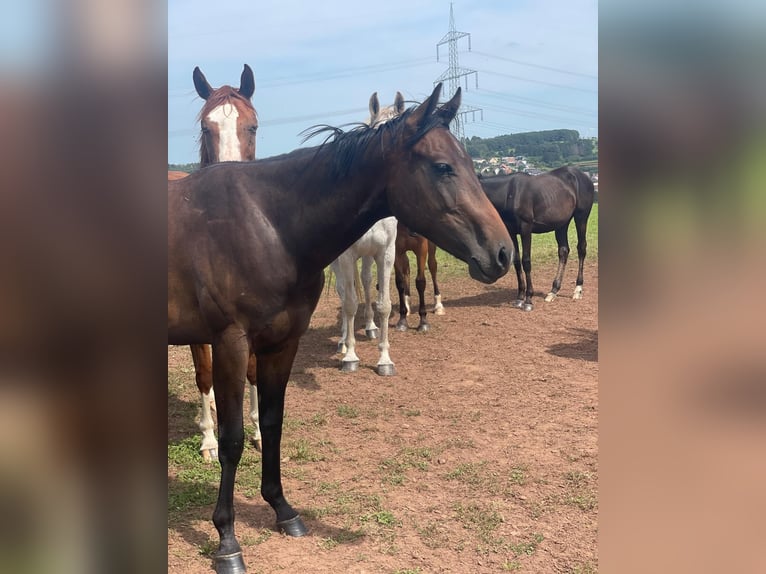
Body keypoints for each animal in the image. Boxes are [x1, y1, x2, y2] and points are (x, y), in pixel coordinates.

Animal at [168, 84, 510, 574]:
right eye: (442, 166)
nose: (502, 253)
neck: (269, 222)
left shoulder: (280, 344)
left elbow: (271, 422)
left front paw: (283, 510)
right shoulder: (230, 343)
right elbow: (233, 440)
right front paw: (227, 541)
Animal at [484, 165, 596, 310]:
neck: (509, 192)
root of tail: (584, 177)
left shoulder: (526, 229)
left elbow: (526, 261)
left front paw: (528, 300)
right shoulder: (511, 232)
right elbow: (517, 262)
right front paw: (519, 297)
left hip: (581, 217)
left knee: (581, 248)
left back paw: (577, 290)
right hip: (562, 223)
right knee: (563, 251)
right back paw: (553, 291)